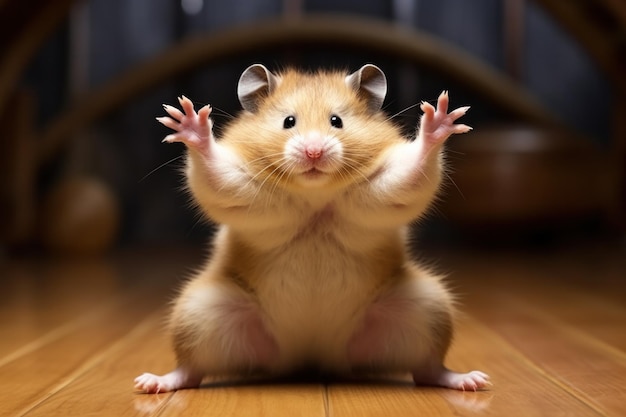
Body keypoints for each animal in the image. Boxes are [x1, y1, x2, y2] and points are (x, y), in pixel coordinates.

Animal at [134, 63, 490, 392]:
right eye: (288, 121)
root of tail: (312, 353)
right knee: (191, 370)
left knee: (427, 370)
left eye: (337, 121)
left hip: (428, 309)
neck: (314, 196)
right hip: (197, 313)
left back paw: (471, 380)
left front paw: (441, 118)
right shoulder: (240, 187)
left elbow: (414, 173)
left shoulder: (387, 189)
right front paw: (186, 120)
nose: (313, 152)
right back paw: (151, 383)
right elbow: (213, 175)